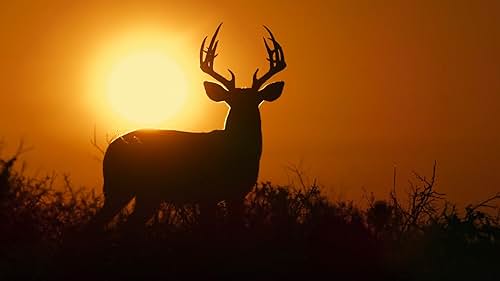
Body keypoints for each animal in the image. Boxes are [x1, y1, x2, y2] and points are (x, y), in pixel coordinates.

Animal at [90, 23, 286, 230]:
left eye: (256, 100)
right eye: (231, 101)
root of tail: (110, 148)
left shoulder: (237, 194)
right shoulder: (208, 194)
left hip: (145, 194)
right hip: (121, 187)